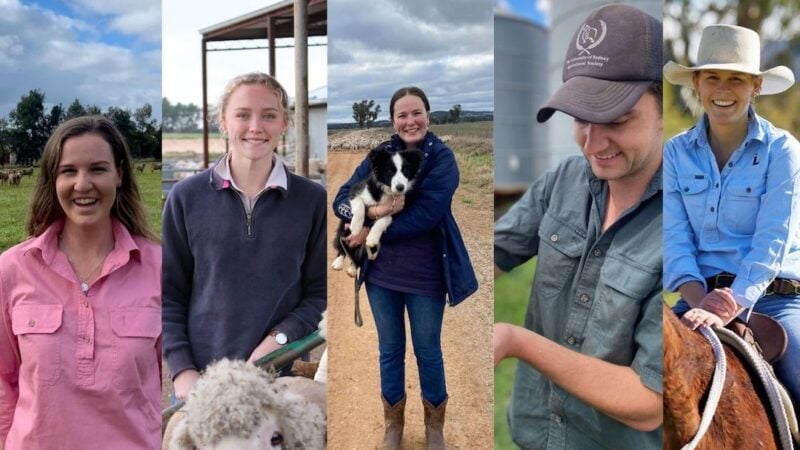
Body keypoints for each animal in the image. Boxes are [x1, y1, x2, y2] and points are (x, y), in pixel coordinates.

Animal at [332, 146, 424, 276]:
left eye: (405, 171)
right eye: (390, 171)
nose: (400, 187)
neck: (389, 193)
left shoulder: (398, 209)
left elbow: (386, 218)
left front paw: (372, 238)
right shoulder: (356, 191)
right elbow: (359, 204)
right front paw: (356, 227)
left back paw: (357, 265)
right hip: (343, 228)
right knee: (343, 244)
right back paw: (339, 262)